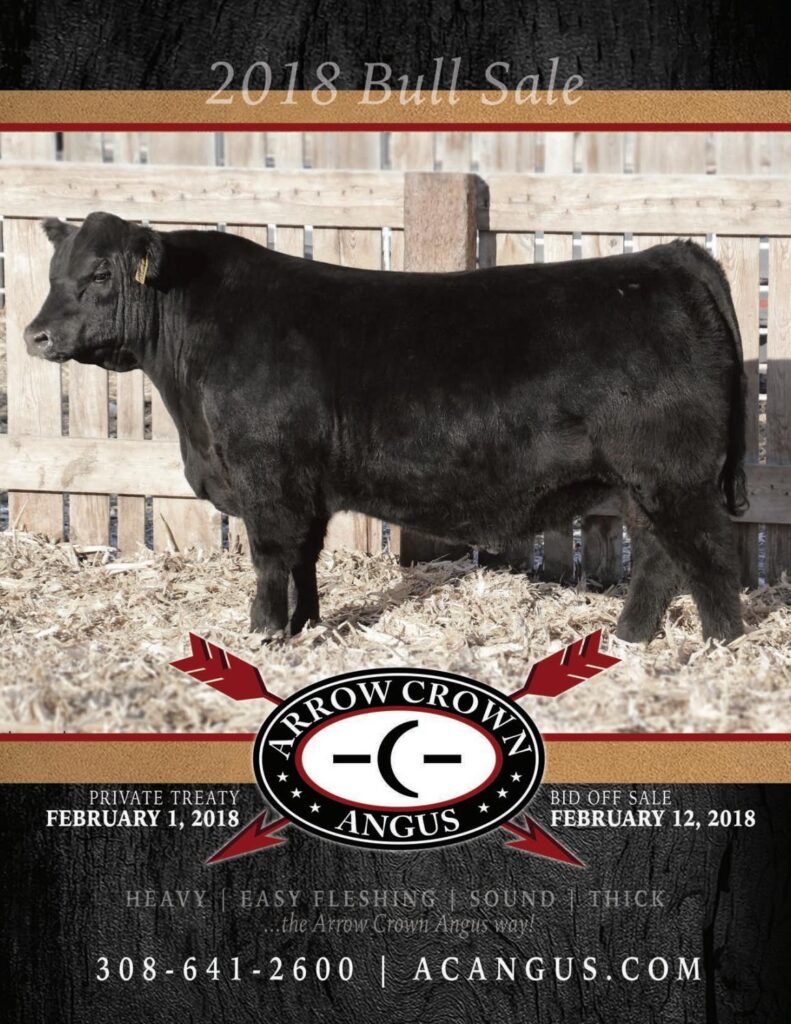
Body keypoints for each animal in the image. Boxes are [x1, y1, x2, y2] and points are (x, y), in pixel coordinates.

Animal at [26, 212, 747, 643]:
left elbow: (270, 557)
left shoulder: (267, 478)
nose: (36, 335)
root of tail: (668, 257)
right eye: (55, 273)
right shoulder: (303, 485)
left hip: (673, 476)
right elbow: (304, 557)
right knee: (657, 555)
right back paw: (631, 639)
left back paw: (718, 644)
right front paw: (305, 625)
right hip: (644, 482)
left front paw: (263, 633)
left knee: (705, 555)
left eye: (99, 274)